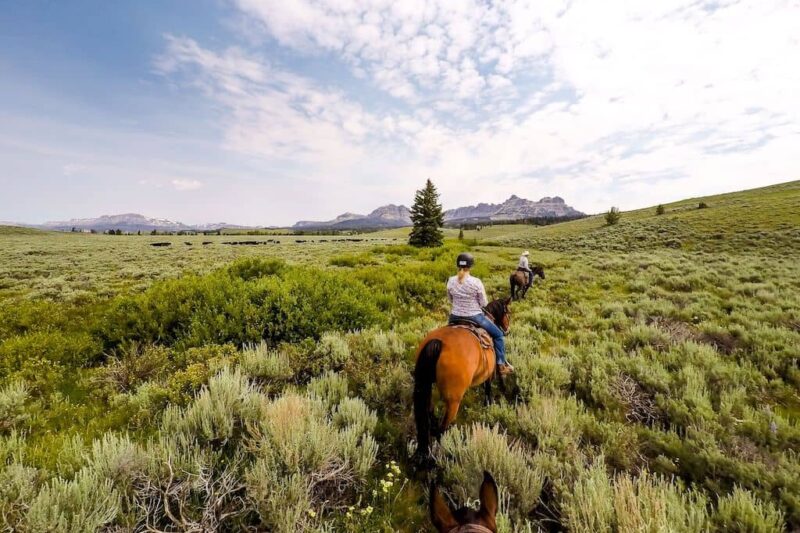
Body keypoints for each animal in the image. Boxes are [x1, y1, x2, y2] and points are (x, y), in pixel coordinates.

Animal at [412, 298, 512, 460]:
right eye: (508, 312)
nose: (507, 330)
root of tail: (438, 342)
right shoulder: (490, 372)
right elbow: (489, 387)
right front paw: (491, 403)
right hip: (453, 401)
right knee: (442, 429)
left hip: (426, 388)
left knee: (430, 418)